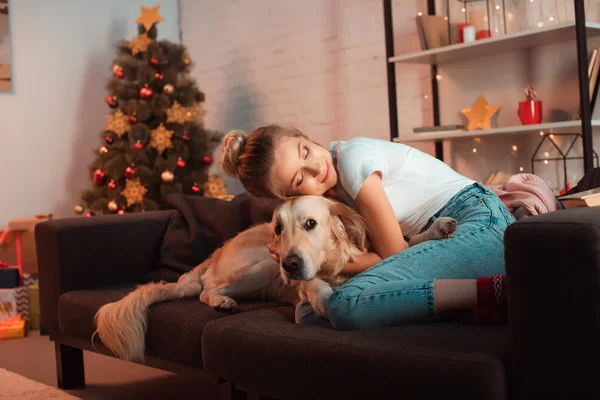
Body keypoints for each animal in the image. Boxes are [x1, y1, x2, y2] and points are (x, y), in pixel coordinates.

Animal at [94, 196, 452, 362]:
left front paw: (436, 229)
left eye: (310, 224)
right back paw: (222, 301)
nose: (290, 263)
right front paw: (322, 297)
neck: (334, 266)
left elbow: (405, 242)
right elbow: (312, 286)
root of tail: (215, 254)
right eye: (278, 228)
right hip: (265, 264)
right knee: (206, 288)